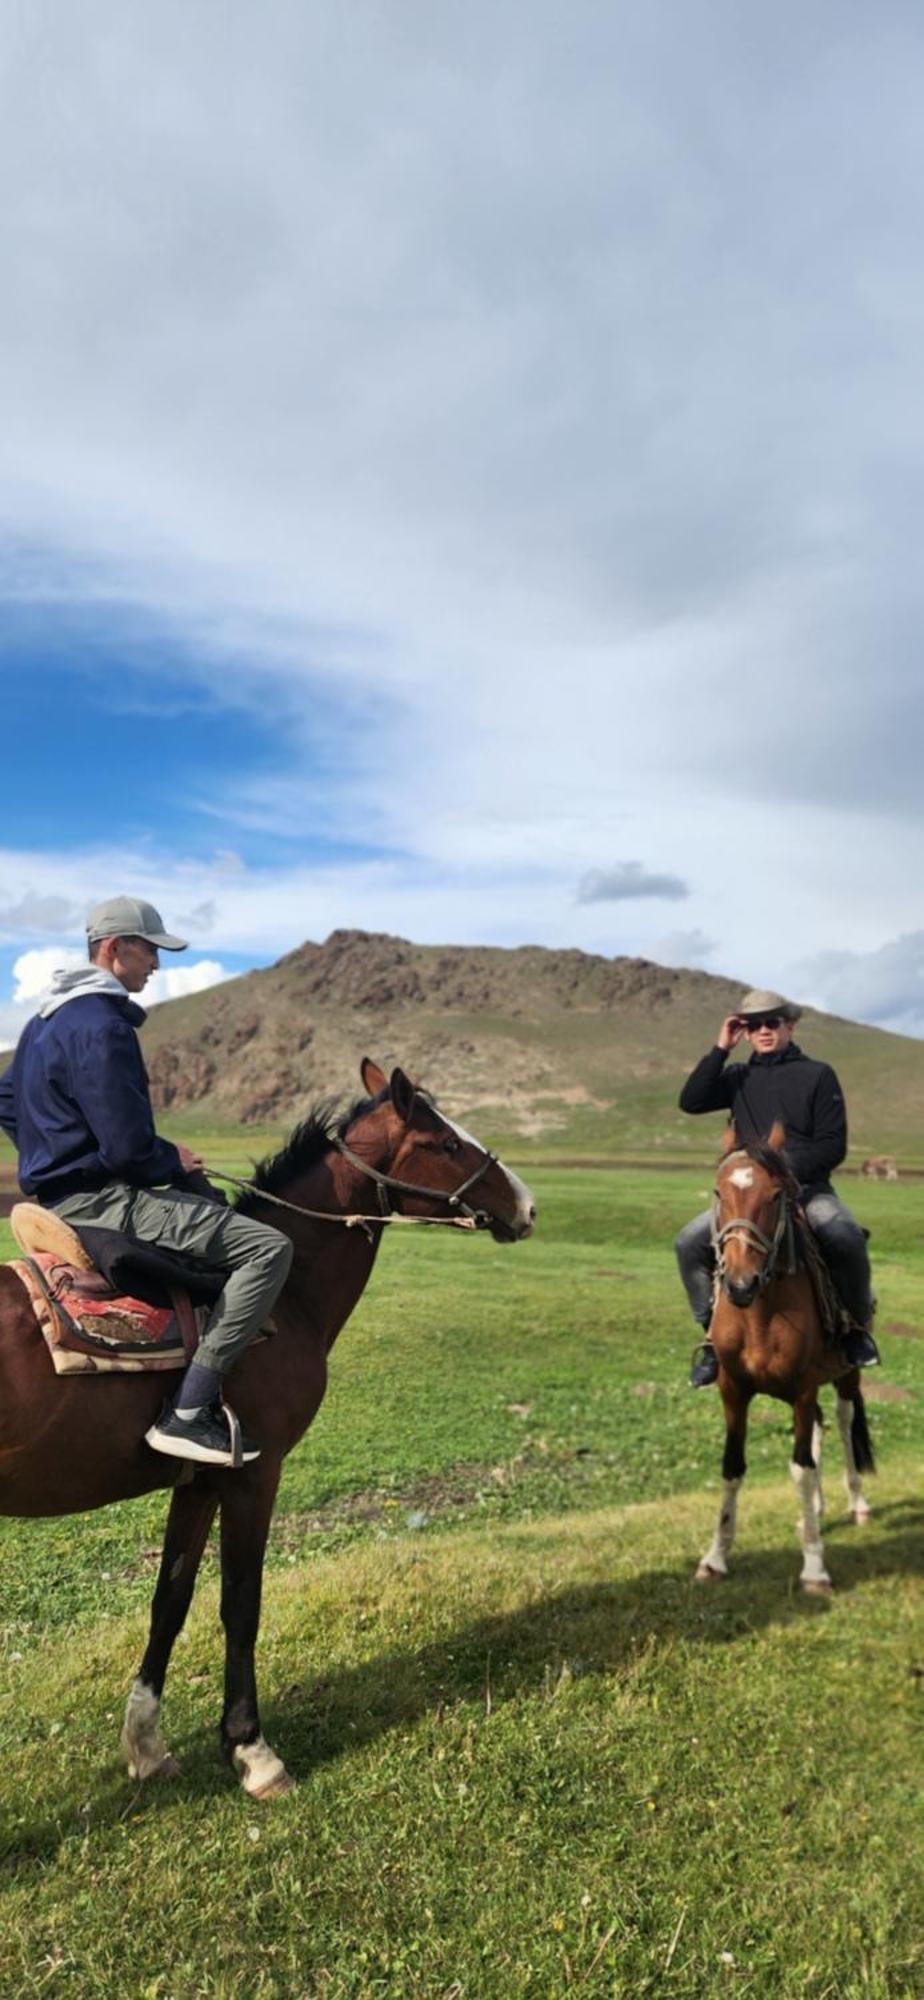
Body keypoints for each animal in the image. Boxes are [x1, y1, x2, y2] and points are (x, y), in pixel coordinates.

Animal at [0, 1064, 536, 1800]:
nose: (526, 1204)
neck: (289, 1296)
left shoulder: (201, 1481)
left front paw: (147, 1746)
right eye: (446, 1143)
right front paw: (252, 1751)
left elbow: (171, 1600)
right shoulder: (256, 1472)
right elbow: (240, 1604)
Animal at [700, 1128, 872, 1592]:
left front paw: (814, 1565)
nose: (739, 1284)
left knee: (844, 1423)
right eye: (718, 1193)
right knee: (819, 1428)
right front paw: (716, 1557)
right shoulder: (733, 1390)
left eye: (776, 1195)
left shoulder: (802, 1387)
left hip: (846, 1375)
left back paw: (857, 1503)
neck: (758, 1310)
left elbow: (800, 1468)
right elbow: (732, 1466)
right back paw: (815, 1509)